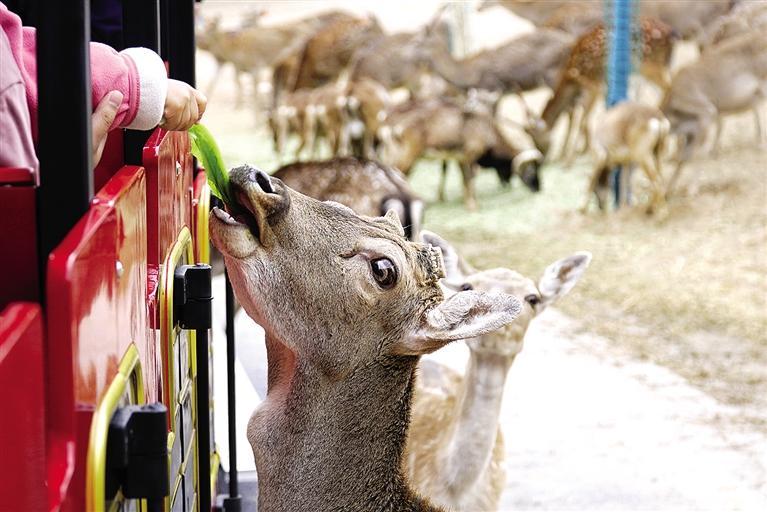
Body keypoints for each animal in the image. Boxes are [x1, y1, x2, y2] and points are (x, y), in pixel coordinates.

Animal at [660, 30, 767, 194]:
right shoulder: (691, 131)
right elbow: (684, 158)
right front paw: (667, 190)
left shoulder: (706, 114)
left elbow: (697, 155)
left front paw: (692, 189)